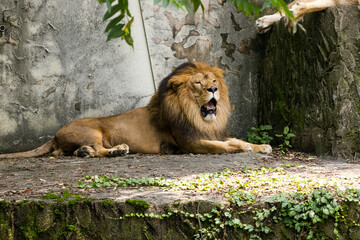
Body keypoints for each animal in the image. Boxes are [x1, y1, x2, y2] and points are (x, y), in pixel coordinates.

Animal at [0, 62, 270, 158]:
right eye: (198, 83)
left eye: (213, 80)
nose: (214, 89)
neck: (198, 115)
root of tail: (55, 133)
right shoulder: (190, 142)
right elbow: (222, 146)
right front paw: (241, 148)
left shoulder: (210, 133)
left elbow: (233, 138)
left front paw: (261, 146)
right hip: (92, 130)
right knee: (99, 149)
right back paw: (116, 151)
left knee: (74, 152)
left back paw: (85, 153)